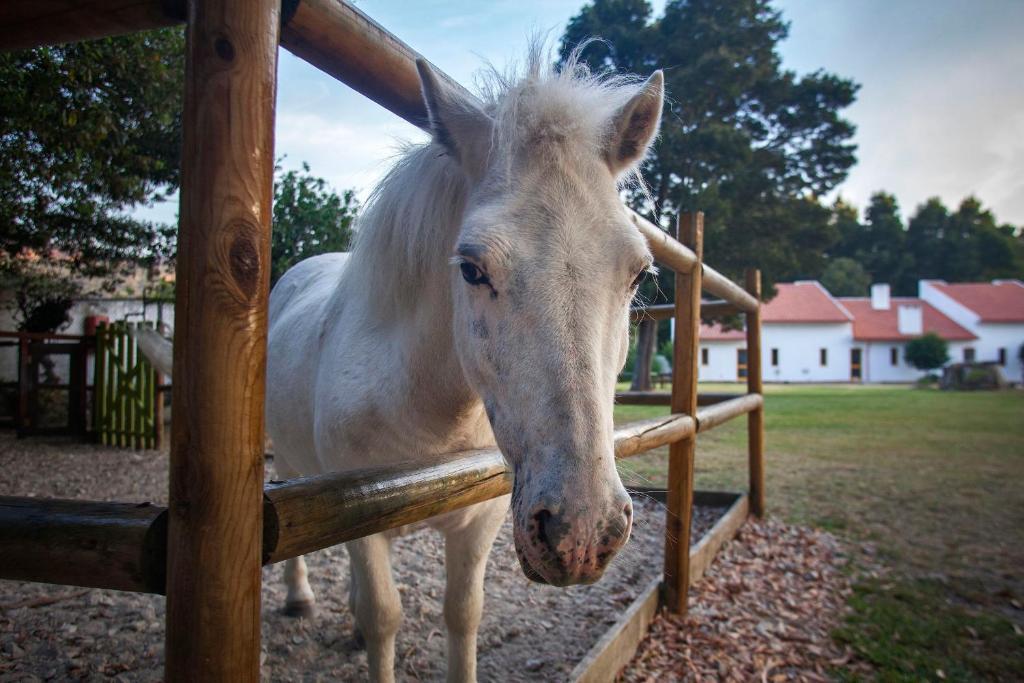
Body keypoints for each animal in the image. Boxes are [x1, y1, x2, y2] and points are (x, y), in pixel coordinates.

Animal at [264, 49, 663, 683]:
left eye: (637, 273)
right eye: (473, 268)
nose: (581, 533)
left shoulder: (482, 519)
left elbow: (462, 611)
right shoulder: (358, 520)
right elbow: (383, 615)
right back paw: (300, 598)